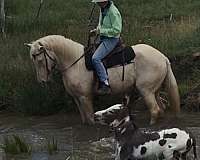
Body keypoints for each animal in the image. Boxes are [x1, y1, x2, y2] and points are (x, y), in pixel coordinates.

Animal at [25, 35, 180, 125]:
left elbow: (90, 120)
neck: (75, 62)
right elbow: (84, 120)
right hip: (155, 90)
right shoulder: (76, 98)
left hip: (145, 90)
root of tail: (163, 57)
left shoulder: (85, 97)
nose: (42, 82)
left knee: (154, 110)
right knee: (161, 108)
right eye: (32, 59)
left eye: (39, 59)